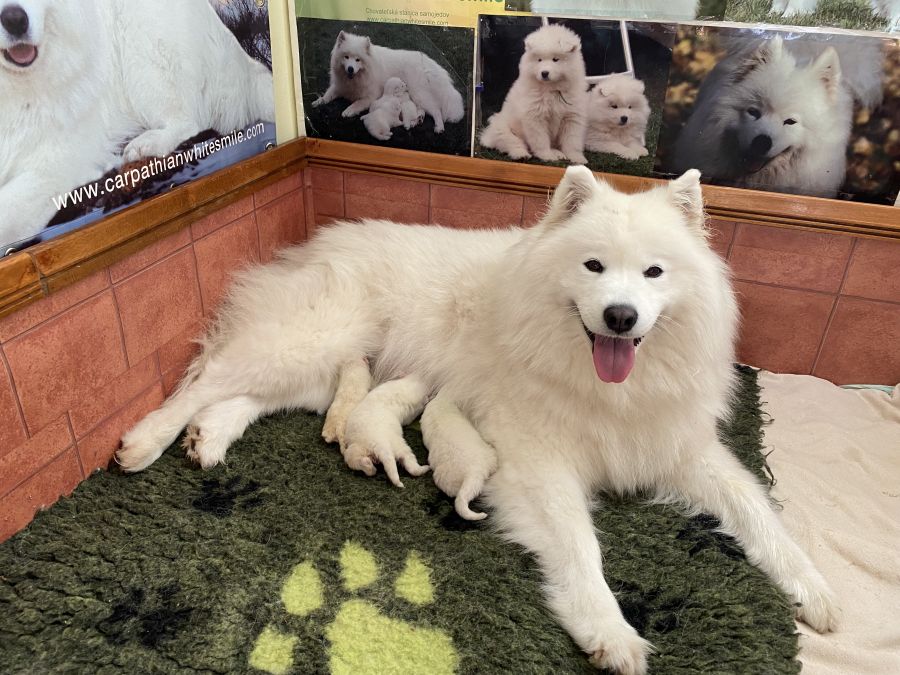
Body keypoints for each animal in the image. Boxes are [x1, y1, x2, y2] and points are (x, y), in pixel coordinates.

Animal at [118, 168, 836, 672]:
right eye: (593, 266)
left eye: (654, 273)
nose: (620, 315)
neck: (605, 384)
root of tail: (322, 237)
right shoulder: (538, 461)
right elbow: (582, 546)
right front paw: (610, 631)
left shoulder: (678, 448)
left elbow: (756, 508)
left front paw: (813, 588)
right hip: (309, 339)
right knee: (206, 379)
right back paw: (147, 441)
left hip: (321, 370)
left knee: (246, 396)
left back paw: (209, 439)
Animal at [312, 30, 464, 133]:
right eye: (346, 57)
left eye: (358, 60)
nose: (350, 69)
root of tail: (427, 61)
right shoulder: (339, 86)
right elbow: (327, 95)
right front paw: (318, 101)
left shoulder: (371, 96)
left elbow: (357, 103)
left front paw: (349, 111)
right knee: (422, 110)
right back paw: (417, 120)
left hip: (418, 93)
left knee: (436, 110)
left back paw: (439, 127)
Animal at [478, 23, 592, 164]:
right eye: (539, 60)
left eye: (555, 59)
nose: (544, 73)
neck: (552, 89)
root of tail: (487, 136)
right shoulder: (535, 117)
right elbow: (541, 140)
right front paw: (547, 156)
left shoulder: (572, 116)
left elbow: (572, 140)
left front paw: (577, 158)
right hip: (503, 128)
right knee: (512, 143)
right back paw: (522, 154)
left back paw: (558, 153)